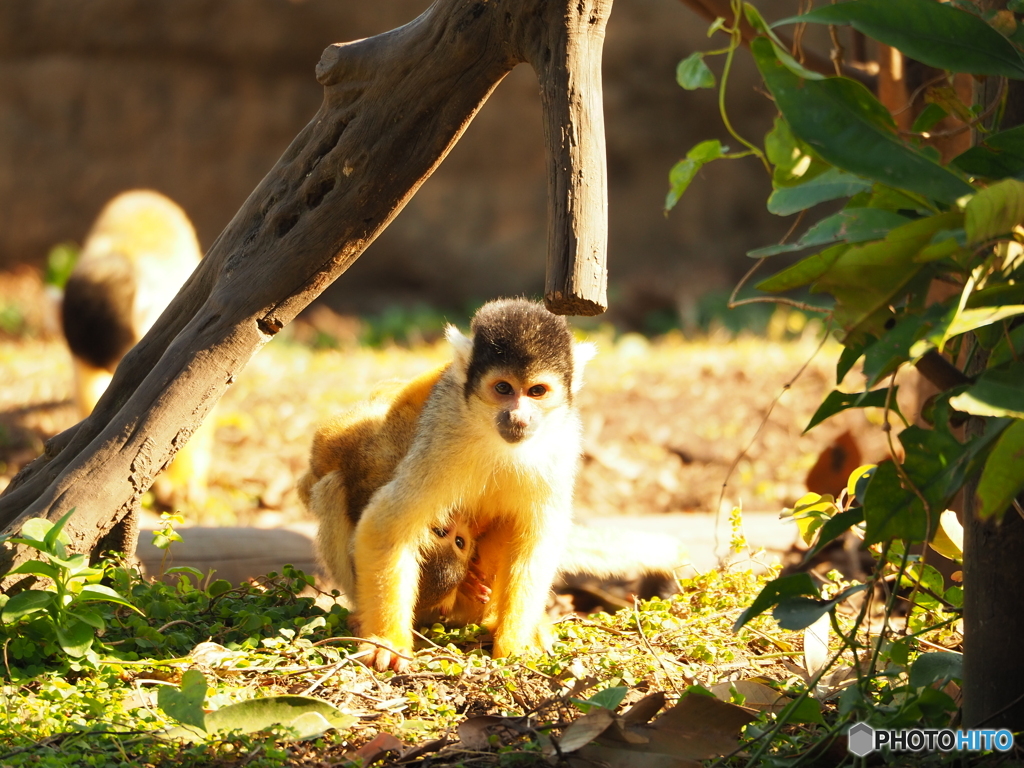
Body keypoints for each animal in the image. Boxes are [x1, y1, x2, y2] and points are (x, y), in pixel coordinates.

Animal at [299, 296, 598, 671]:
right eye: (503, 388)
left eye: (537, 391)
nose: (518, 418)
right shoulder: (443, 427)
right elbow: (386, 526)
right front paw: (387, 642)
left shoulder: (562, 440)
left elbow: (536, 541)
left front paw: (514, 645)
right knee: (333, 482)